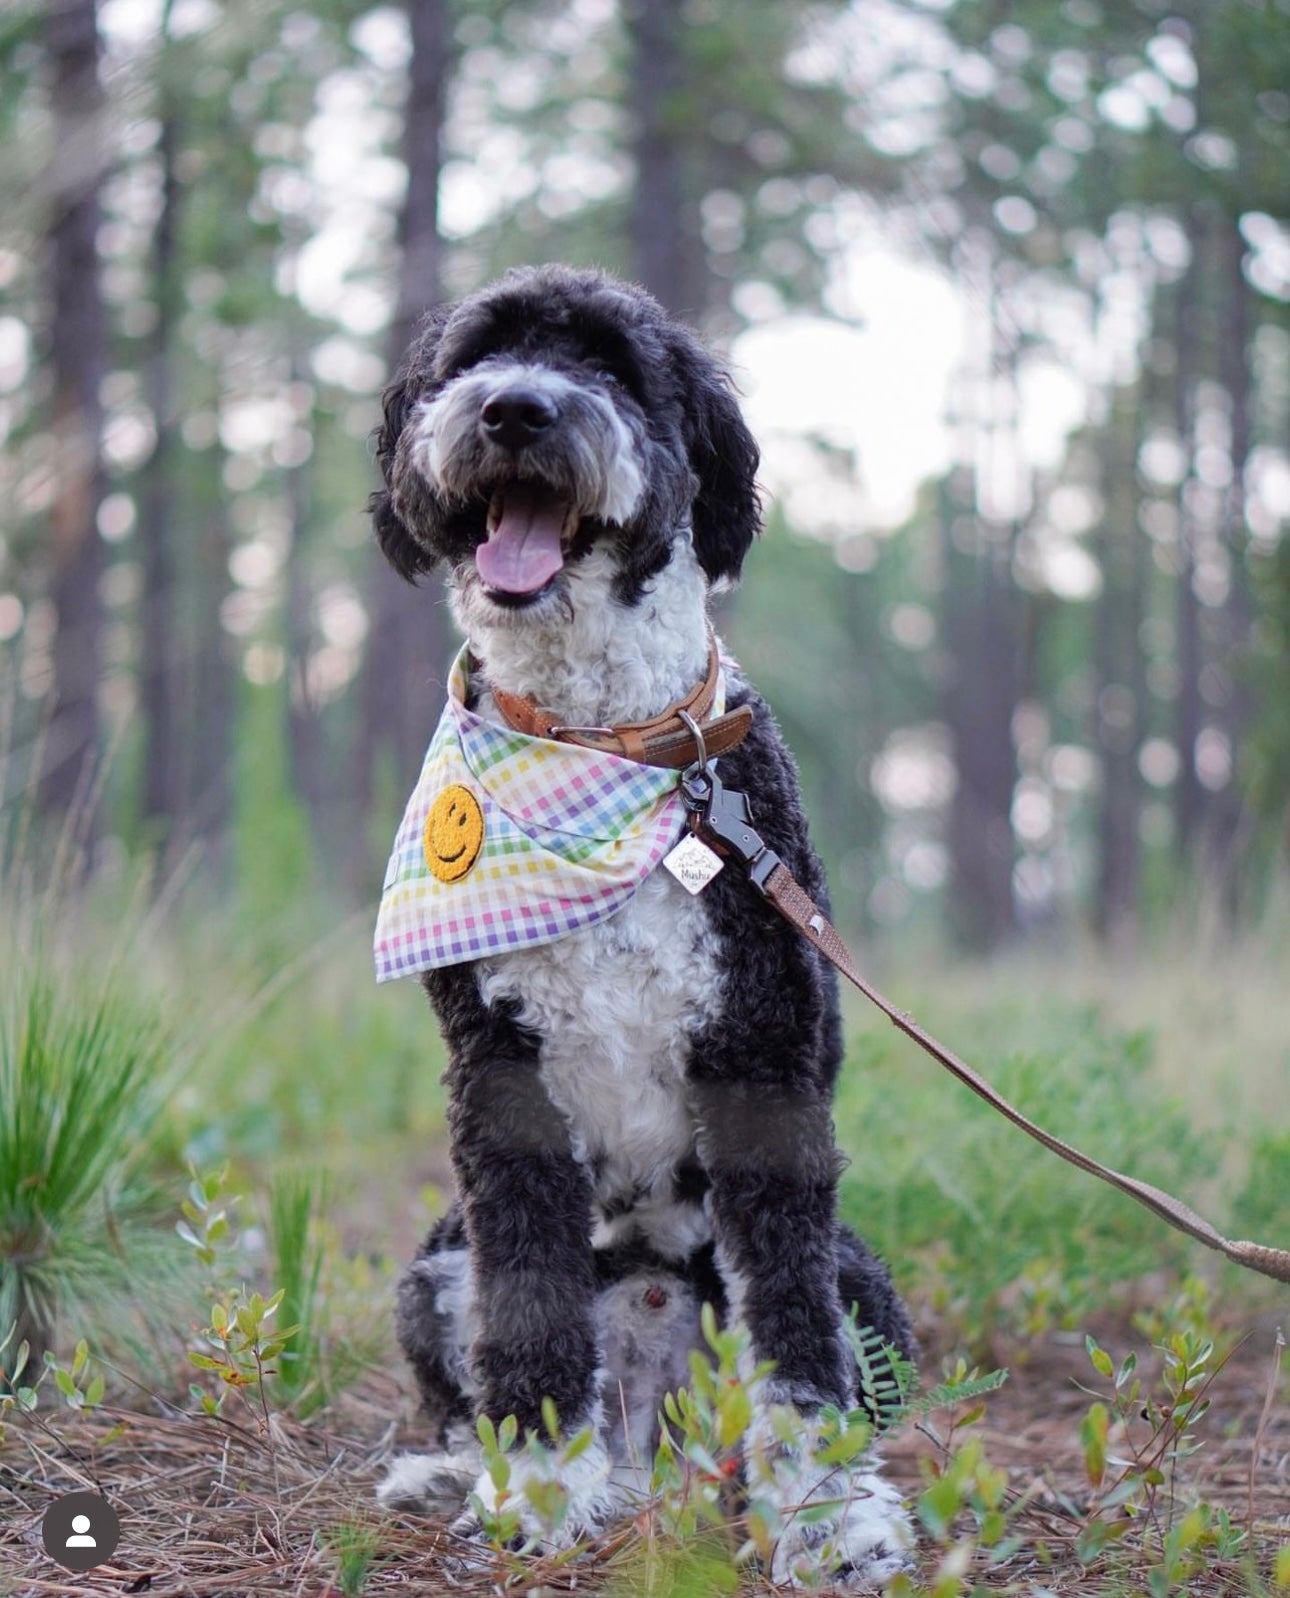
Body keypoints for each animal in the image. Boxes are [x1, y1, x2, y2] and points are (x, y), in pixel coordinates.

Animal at [370, 265, 920, 1585]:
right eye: (477, 354)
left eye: (618, 368)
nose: (515, 408)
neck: (606, 741)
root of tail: (655, 1441)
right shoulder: (501, 1081)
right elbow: (527, 1310)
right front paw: (533, 1488)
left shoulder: (766, 1066)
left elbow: (792, 1331)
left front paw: (825, 1514)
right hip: (431, 1272)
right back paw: (478, 1468)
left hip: (865, 1279)